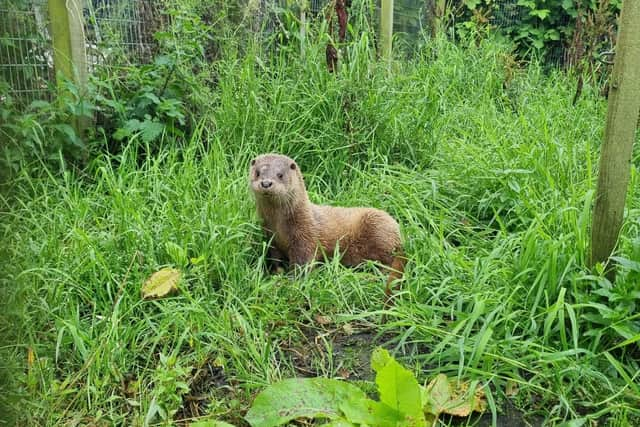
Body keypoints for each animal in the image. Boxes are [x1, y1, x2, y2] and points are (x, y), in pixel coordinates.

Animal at [248, 154, 402, 298]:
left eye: (280, 175)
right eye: (258, 173)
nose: (266, 183)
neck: (280, 228)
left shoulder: (305, 239)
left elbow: (303, 265)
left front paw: (291, 283)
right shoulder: (271, 239)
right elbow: (275, 259)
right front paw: (275, 274)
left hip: (378, 229)